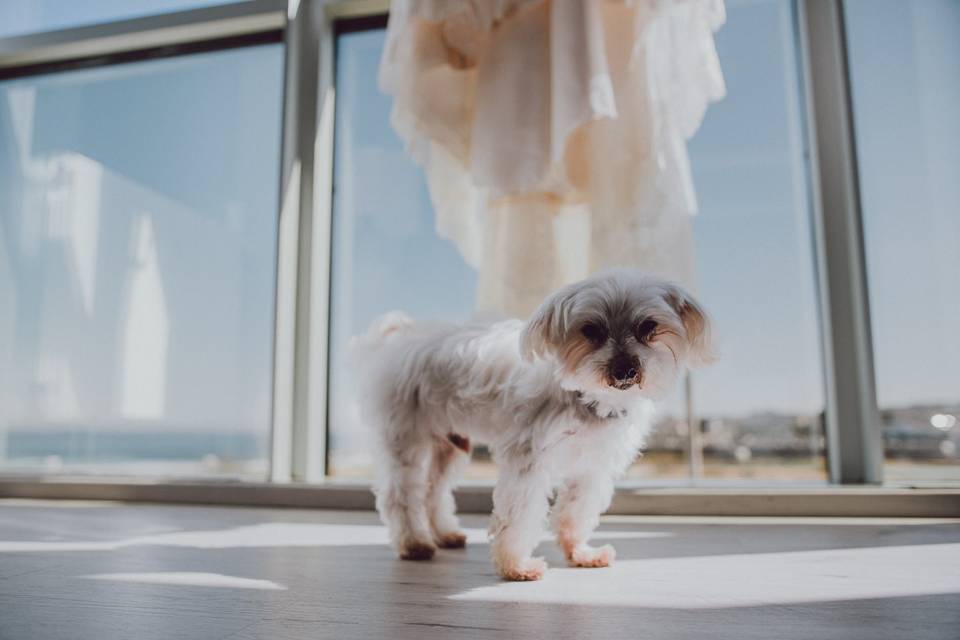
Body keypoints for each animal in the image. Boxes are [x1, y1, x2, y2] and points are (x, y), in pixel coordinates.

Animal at [360, 268, 712, 580]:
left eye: (648, 325)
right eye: (591, 330)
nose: (624, 369)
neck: (584, 396)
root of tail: (403, 338)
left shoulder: (592, 467)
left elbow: (575, 513)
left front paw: (580, 553)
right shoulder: (529, 463)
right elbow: (520, 516)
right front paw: (515, 566)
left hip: (450, 445)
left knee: (435, 490)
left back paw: (444, 534)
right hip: (406, 440)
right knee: (400, 496)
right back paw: (414, 543)